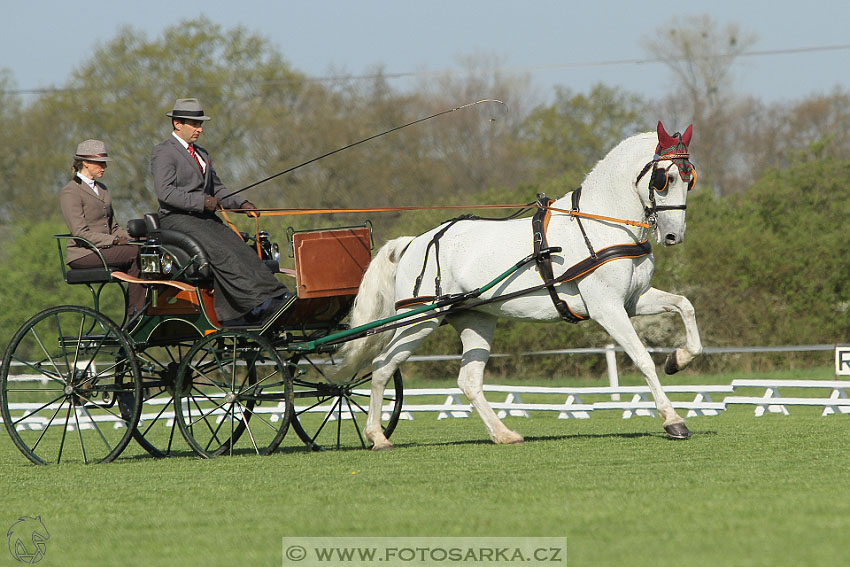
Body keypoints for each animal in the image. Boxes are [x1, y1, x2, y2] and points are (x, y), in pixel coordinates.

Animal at [332, 122, 704, 450]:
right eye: (665, 178)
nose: (674, 235)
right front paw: (674, 421)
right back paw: (377, 436)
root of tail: (413, 242)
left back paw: (503, 434)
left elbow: (684, 305)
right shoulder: (607, 308)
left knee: (468, 380)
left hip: (474, 320)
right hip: (419, 320)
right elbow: (642, 358)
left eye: (690, 179)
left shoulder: (633, 300)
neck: (603, 224)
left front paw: (679, 359)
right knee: (382, 366)